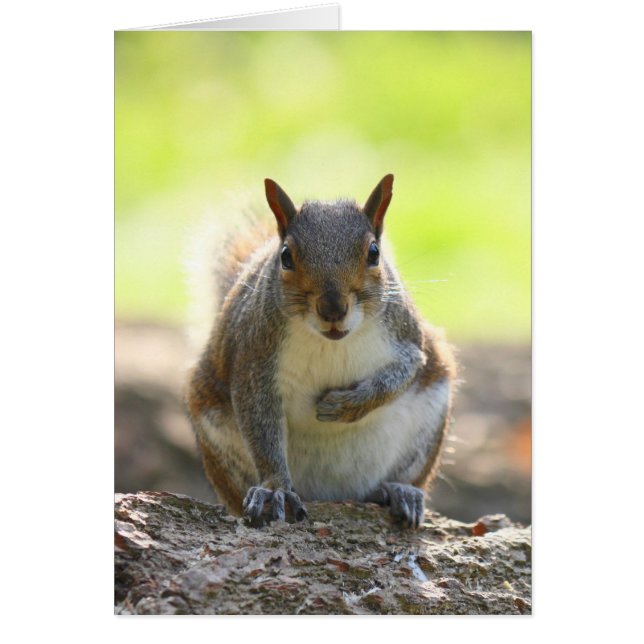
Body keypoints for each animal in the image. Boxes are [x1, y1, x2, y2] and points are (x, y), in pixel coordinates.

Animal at [186, 175, 456, 528]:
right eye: (286, 256)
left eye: (374, 253)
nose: (332, 309)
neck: (332, 342)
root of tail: (332, 494)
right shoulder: (254, 360)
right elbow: (261, 429)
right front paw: (275, 489)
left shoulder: (408, 338)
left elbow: (403, 372)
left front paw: (345, 406)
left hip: (429, 420)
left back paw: (398, 491)